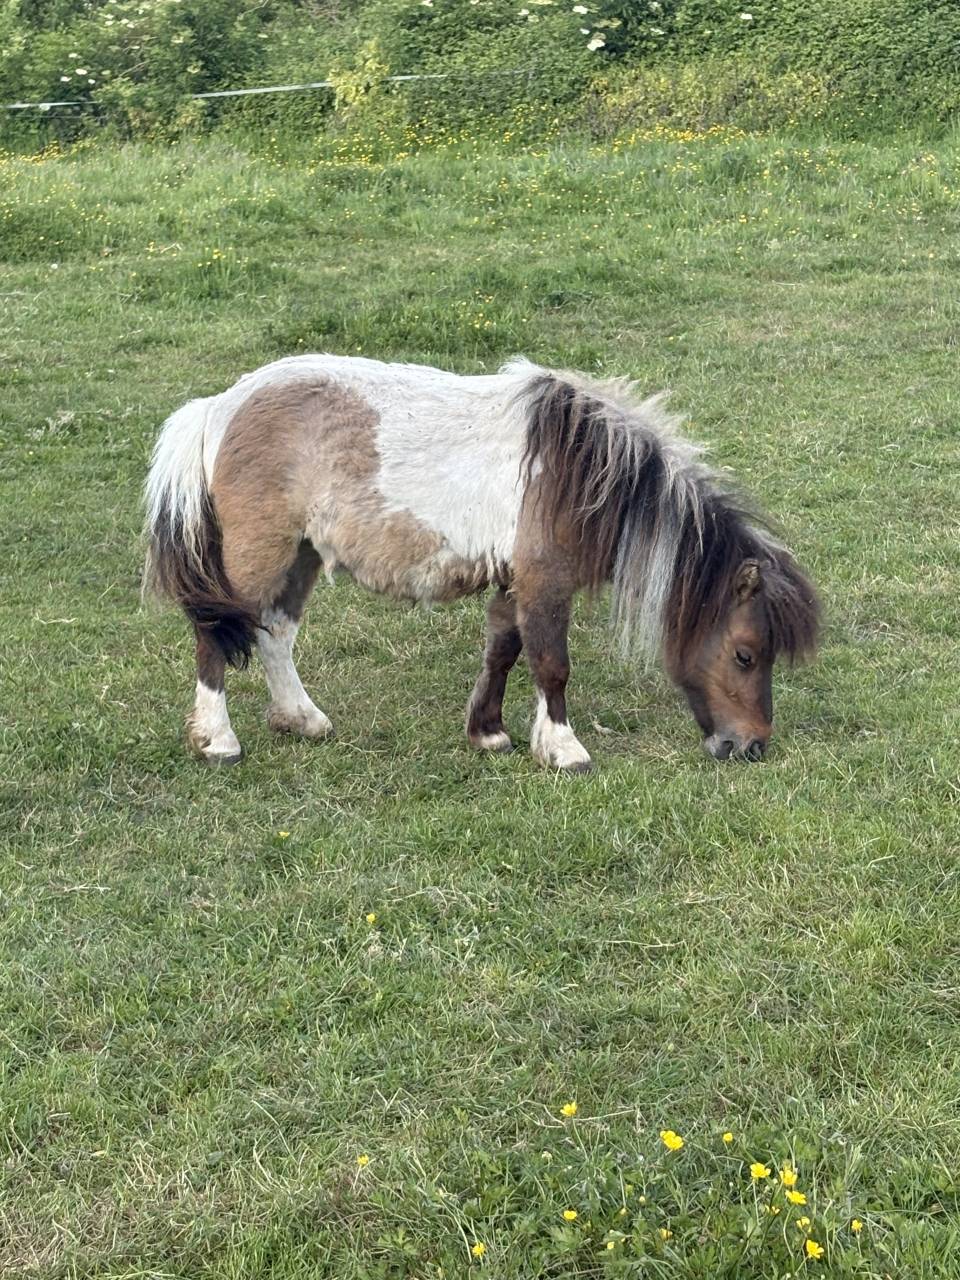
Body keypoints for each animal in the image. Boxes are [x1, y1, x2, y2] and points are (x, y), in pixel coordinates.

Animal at [143, 354, 819, 771]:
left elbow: (503, 649)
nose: (751, 746)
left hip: (303, 552)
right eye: (745, 654)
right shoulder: (545, 582)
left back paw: (303, 719)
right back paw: (218, 741)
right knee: (216, 634)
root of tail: (218, 407)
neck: (581, 473)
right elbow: (551, 665)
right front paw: (564, 749)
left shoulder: (513, 581)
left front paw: (489, 732)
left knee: (274, 632)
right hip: (260, 551)